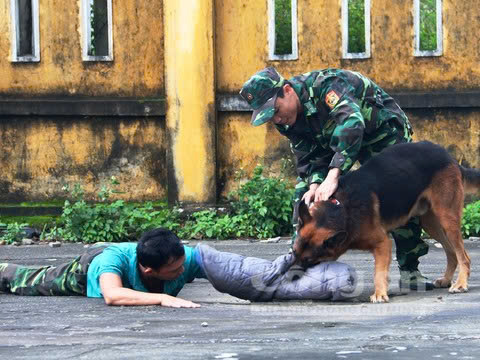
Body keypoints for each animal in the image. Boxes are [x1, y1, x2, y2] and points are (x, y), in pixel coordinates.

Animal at [292, 142, 480, 302]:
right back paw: (447, 279)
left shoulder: (382, 243)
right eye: (294, 253)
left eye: (309, 260)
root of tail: (450, 158)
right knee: (451, 252)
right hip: (432, 225)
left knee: (464, 256)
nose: (289, 276)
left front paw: (379, 294)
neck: (341, 209)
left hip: (447, 219)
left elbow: (379, 272)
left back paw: (461, 284)